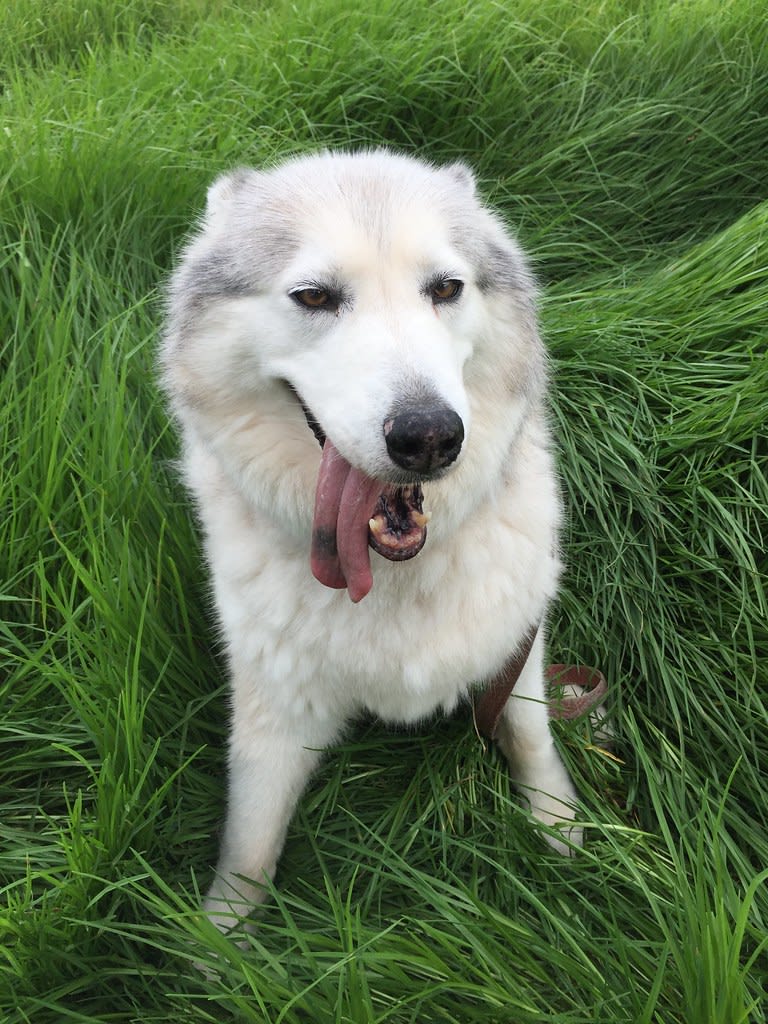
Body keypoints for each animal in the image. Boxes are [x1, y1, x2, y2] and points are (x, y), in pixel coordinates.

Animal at [160, 149, 581, 934]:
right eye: (314, 297)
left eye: (445, 289)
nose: (429, 436)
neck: (393, 579)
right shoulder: (274, 706)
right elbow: (249, 845)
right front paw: (220, 944)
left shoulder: (517, 637)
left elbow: (531, 733)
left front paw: (563, 828)